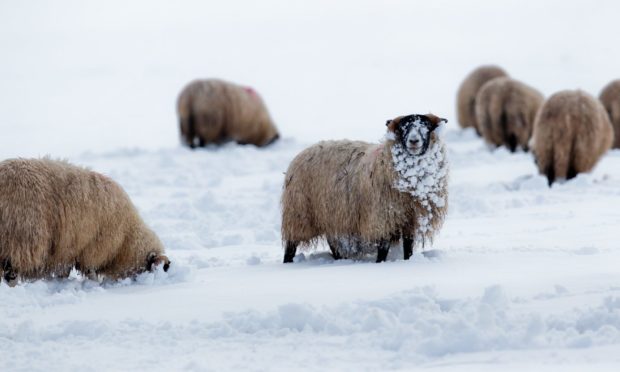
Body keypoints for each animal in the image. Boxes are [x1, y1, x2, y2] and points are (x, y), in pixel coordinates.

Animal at [0, 157, 170, 284]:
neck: (125, 238)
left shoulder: (68, 249)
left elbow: (64, 269)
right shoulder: (95, 247)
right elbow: (90, 269)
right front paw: (94, 282)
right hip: (21, 235)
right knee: (11, 270)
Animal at [282, 115, 450, 264]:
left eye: (426, 126)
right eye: (403, 128)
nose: (414, 141)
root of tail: (302, 153)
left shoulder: (410, 219)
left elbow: (408, 246)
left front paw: (408, 261)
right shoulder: (382, 217)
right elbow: (383, 247)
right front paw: (379, 263)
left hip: (332, 215)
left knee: (333, 243)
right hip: (298, 213)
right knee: (291, 245)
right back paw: (288, 263)